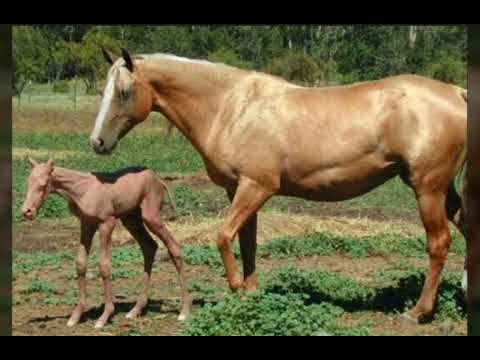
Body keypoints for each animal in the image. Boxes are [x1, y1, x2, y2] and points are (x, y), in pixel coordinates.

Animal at [21, 158, 191, 330]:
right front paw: (76, 316)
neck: (82, 190)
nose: (27, 212)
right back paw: (135, 310)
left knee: (174, 247)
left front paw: (104, 316)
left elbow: (104, 266)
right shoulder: (86, 224)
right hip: (131, 219)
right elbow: (80, 263)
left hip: (151, 217)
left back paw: (184, 311)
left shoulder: (107, 223)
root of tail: (159, 179)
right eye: (28, 182)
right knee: (149, 247)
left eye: (43, 185)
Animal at [89, 47, 464, 324]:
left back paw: (418, 312)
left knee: (439, 243)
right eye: (104, 91)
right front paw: (250, 294)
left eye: (123, 92)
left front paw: (237, 287)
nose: (98, 142)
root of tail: (457, 93)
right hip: (444, 192)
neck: (232, 107)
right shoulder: (238, 189)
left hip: (428, 189)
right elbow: (247, 243)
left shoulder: (256, 187)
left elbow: (223, 236)